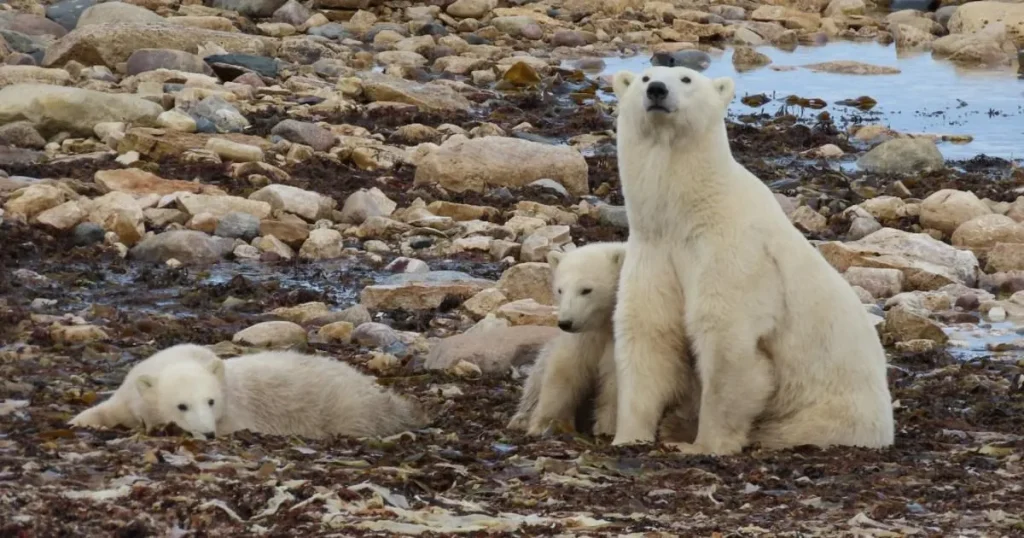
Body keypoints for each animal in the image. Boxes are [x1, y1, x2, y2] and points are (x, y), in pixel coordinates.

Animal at [68, 344, 430, 440]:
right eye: (181, 406)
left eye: (211, 401)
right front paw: (77, 422)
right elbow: (109, 409)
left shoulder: (235, 412)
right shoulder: (132, 391)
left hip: (345, 407)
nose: (207, 434)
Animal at [506, 241, 699, 443]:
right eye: (560, 290)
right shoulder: (587, 336)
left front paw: (606, 429)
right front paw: (543, 424)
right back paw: (521, 417)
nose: (566, 322)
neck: (604, 324)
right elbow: (564, 370)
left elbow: (613, 383)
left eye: (586, 290)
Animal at [608, 66, 894, 455]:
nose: (656, 90)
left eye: (686, 78)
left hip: (826, 414)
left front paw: (702, 445)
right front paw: (627, 436)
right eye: (645, 76)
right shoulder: (654, 251)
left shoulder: (737, 254)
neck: (688, 216)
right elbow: (648, 331)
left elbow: (728, 339)